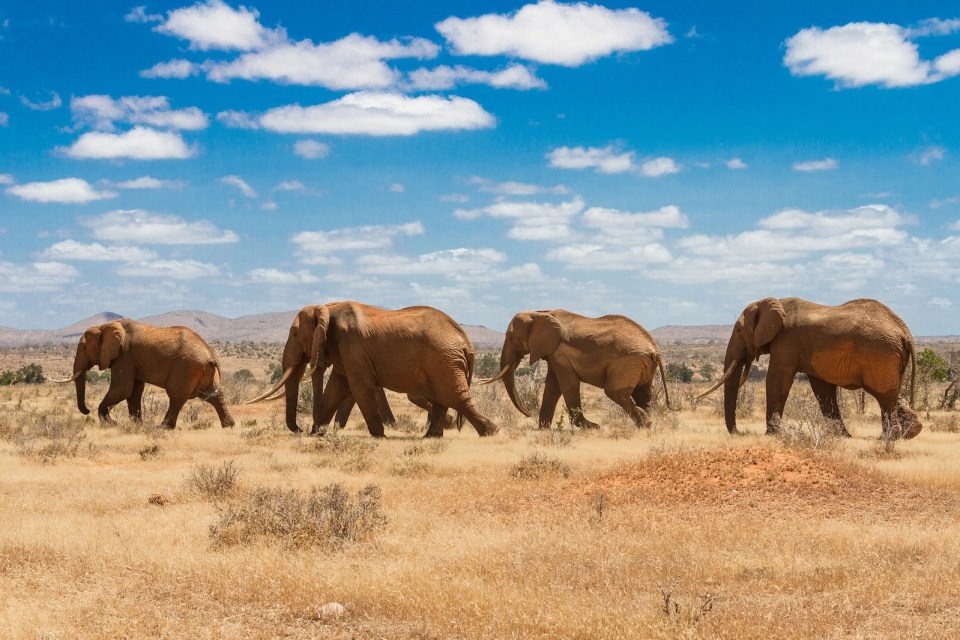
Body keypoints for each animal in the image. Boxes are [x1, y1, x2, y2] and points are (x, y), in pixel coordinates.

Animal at [53, 320, 235, 430]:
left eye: (84, 348)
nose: (87, 410)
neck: (104, 326)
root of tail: (211, 355)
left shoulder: (125, 356)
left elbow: (122, 389)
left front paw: (112, 424)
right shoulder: (132, 360)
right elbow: (133, 392)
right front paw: (137, 426)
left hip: (186, 367)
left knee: (176, 396)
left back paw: (162, 429)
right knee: (213, 396)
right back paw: (229, 426)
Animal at [248, 302, 498, 438]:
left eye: (294, 334)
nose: (301, 430)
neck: (328, 308)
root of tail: (466, 341)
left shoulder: (352, 345)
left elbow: (359, 387)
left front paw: (380, 436)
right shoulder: (345, 350)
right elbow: (336, 388)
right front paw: (317, 435)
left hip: (443, 359)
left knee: (454, 397)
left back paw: (490, 431)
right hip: (442, 362)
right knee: (442, 399)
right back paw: (431, 437)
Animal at [488, 312, 676, 430]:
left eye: (510, 337)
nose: (528, 413)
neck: (538, 313)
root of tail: (654, 349)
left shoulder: (560, 352)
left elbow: (567, 384)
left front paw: (592, 427)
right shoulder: (555, 353)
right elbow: (553, 386)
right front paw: (543, 428)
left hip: (628, 362)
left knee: (614, 392)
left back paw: (643, 424)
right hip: (641, 364)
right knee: (643, 394)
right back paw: (647, 426)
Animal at [696, 298, 924, 440]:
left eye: (738, 330)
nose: (738, 432)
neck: (773, 302)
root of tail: (904, 331)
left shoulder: (786, 342)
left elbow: (777, 381)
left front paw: (771, 435)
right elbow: (822, 389)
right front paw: (842, 436)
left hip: (879, 354)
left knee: (884, 396)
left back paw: (888, 438)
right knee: (893, 393)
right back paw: (910, 433)